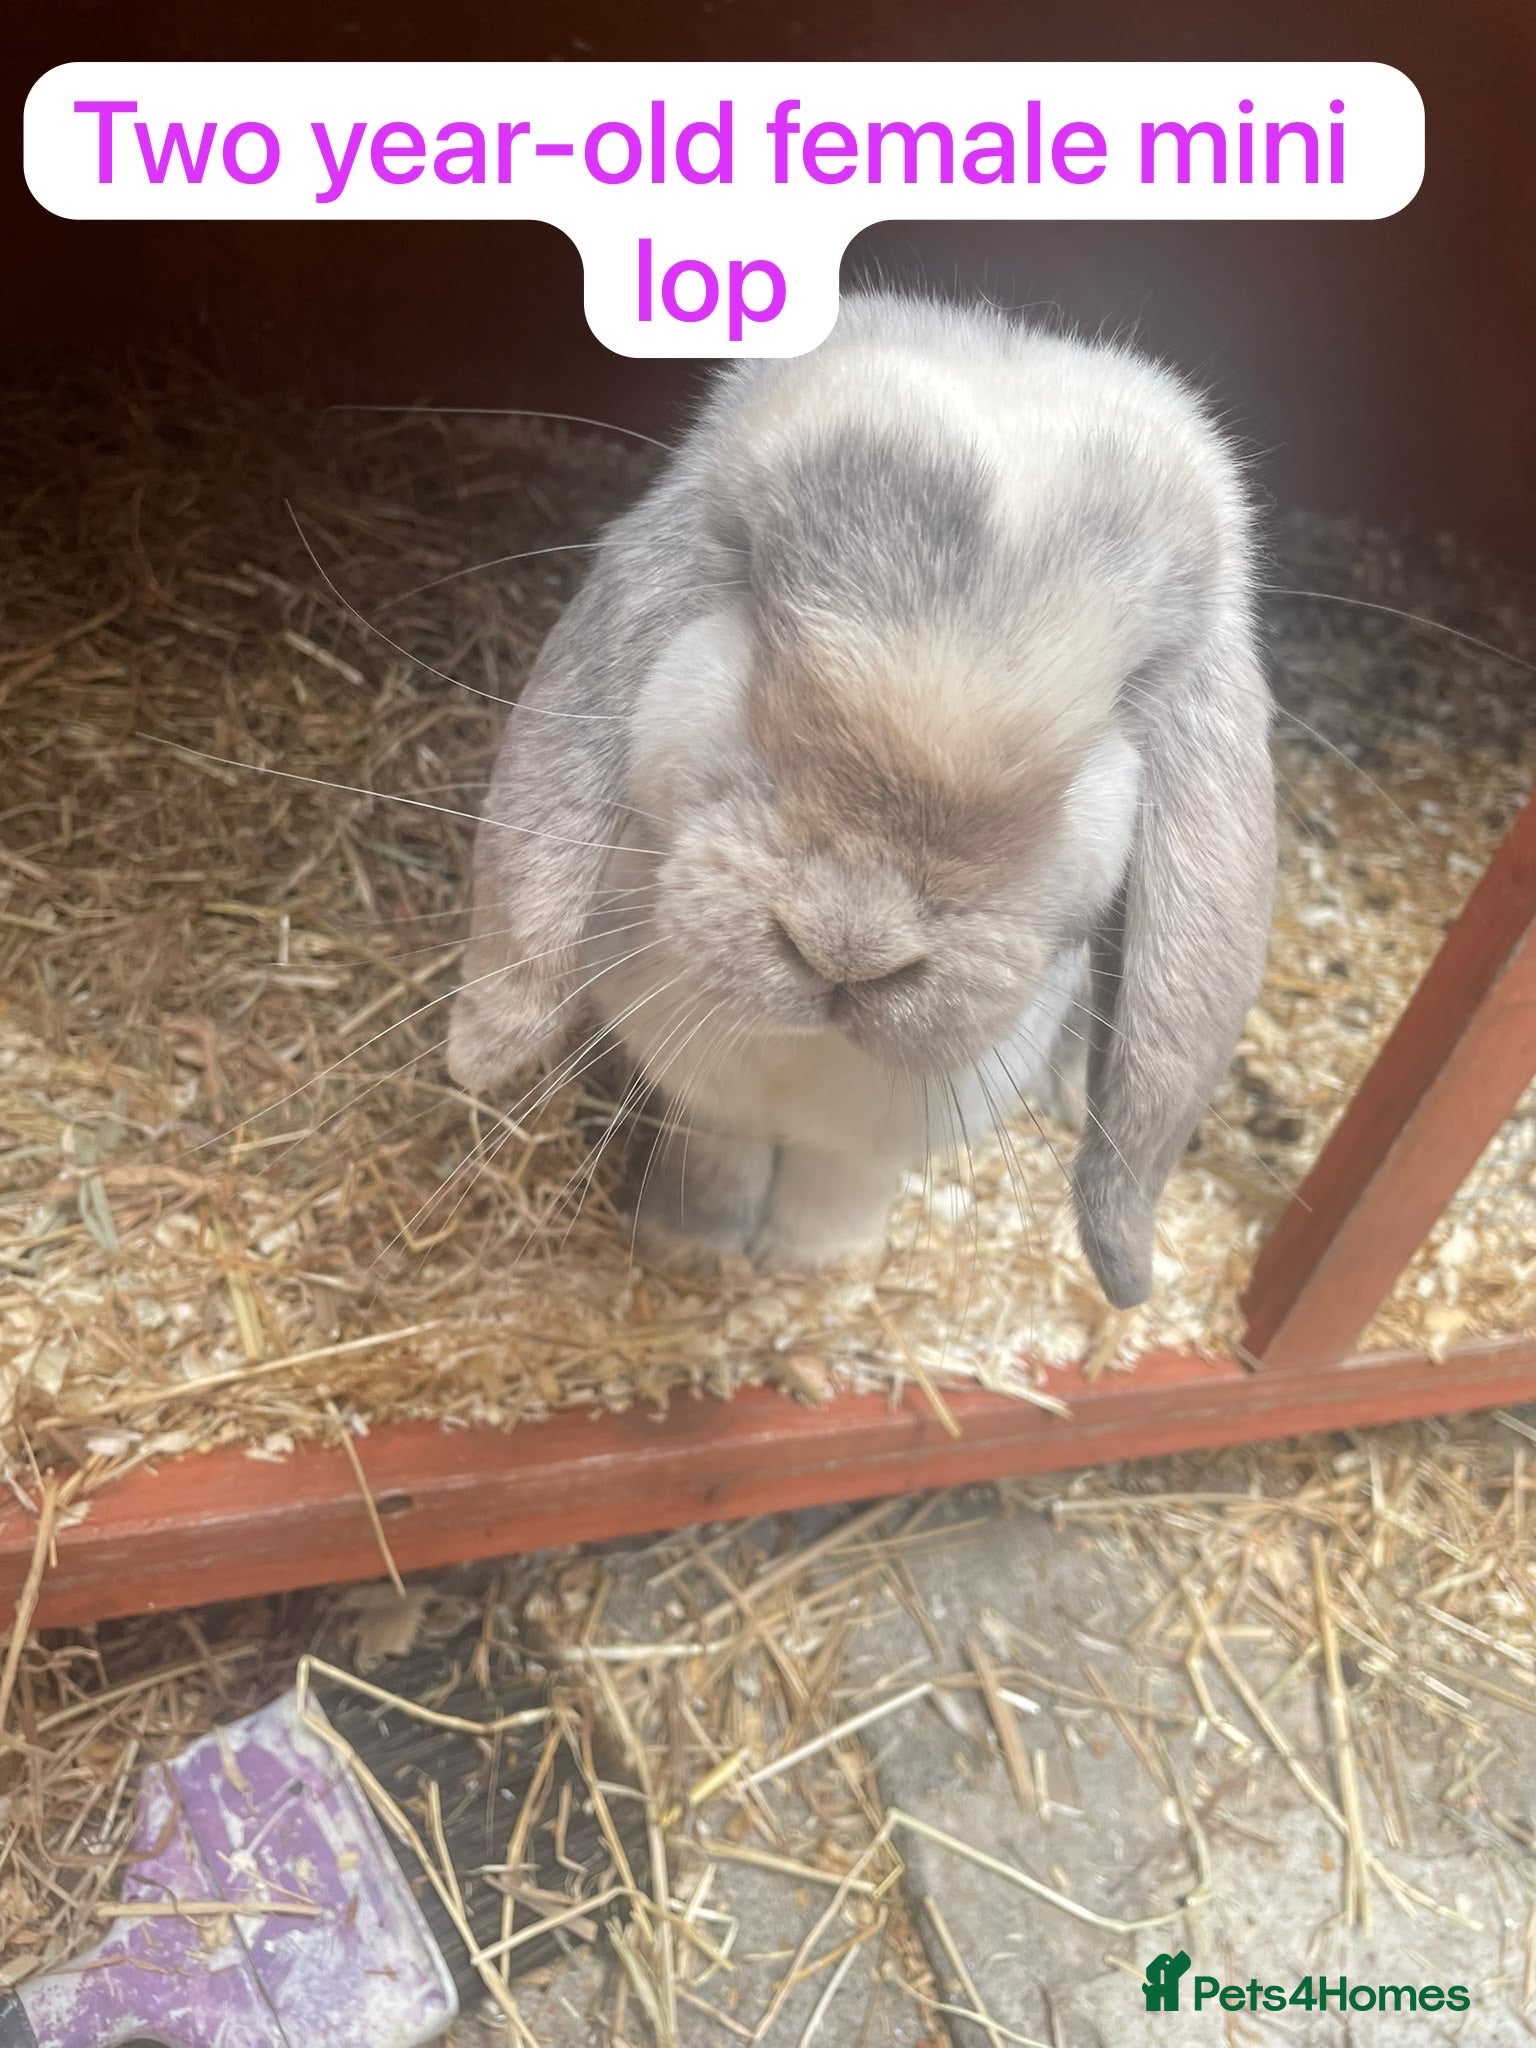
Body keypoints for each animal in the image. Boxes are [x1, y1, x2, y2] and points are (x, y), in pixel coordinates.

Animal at [447, 291, 1276, 1308]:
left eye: (1132, 693)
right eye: (750, 578)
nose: (847, 948)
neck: (806, 1050)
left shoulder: (888, 1134)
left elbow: (840, 1179)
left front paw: (818, 1267)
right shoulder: (698, 1081)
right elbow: (719, 1149)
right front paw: (690, 1244)